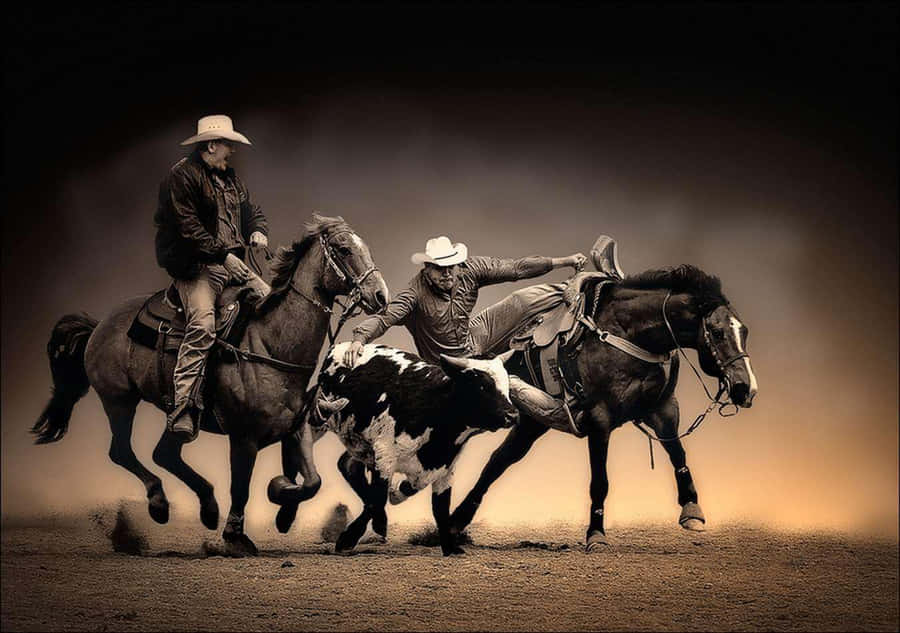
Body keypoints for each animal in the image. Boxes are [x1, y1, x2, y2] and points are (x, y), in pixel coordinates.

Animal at [310, 342, 519, 555]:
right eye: (482, 385)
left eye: (506, 385)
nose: (512, 415)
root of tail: (338, 347)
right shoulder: (385, 456)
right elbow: (378, 497)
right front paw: (351, 537)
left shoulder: (445, 467)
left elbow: (440, 508)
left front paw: (450, 547)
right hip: (322, 421)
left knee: (348, 465)